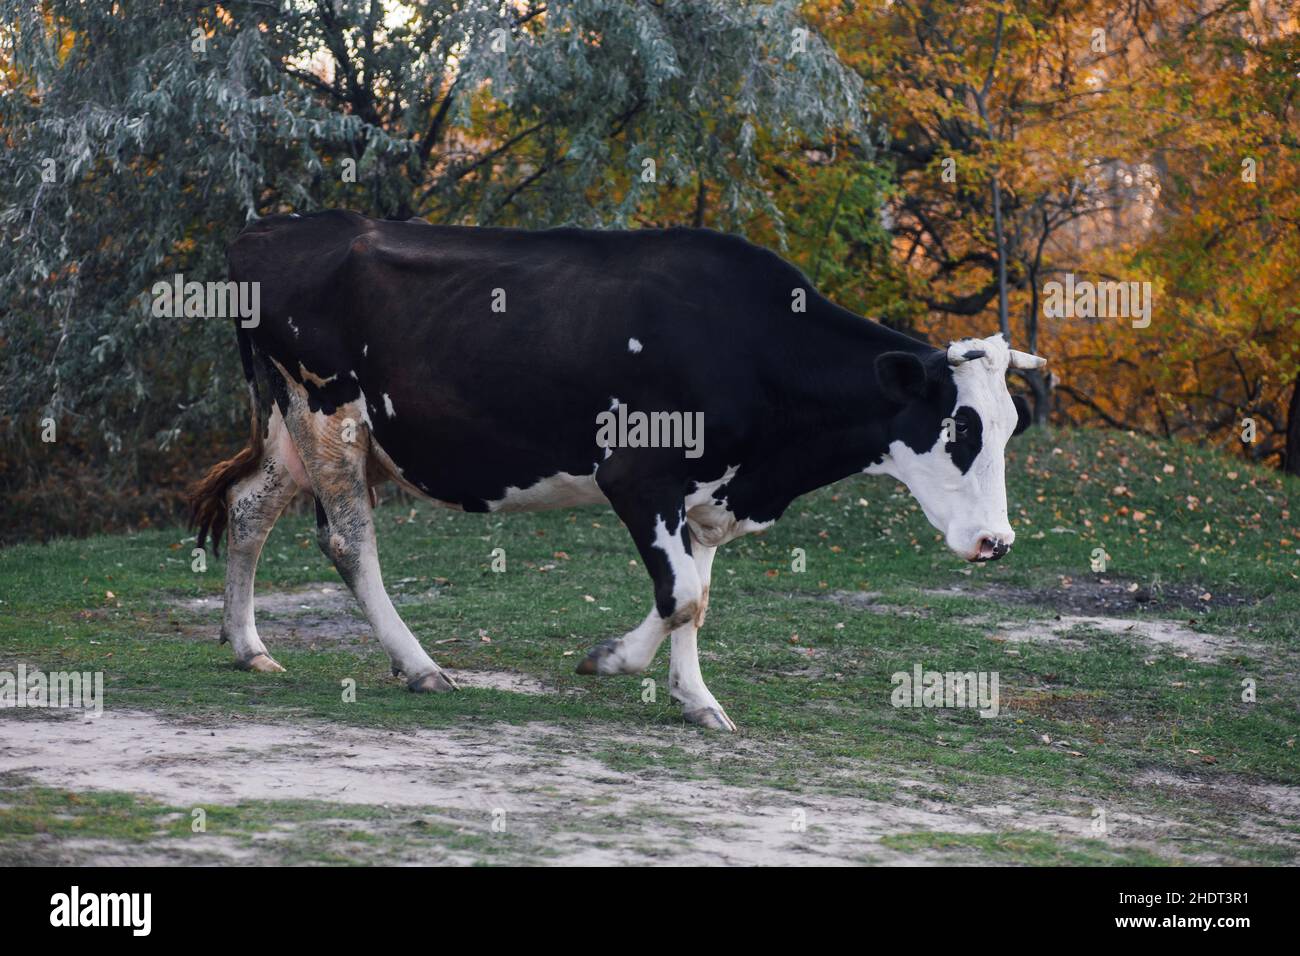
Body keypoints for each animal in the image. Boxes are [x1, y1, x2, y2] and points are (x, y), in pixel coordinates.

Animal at [189, 210, 1045, 733]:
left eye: (1011, 427)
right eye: (959, 428)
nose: (997, 541)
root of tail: (268, 230)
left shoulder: (709, 496)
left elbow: (697, 599)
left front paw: (692, 697)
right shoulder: (638, 476)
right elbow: (682, 596)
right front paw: (616, 662)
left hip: (293, 423)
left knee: (249, 507)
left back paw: (248, 645)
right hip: (328, 412)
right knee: (349, 544)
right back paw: (419, 666)